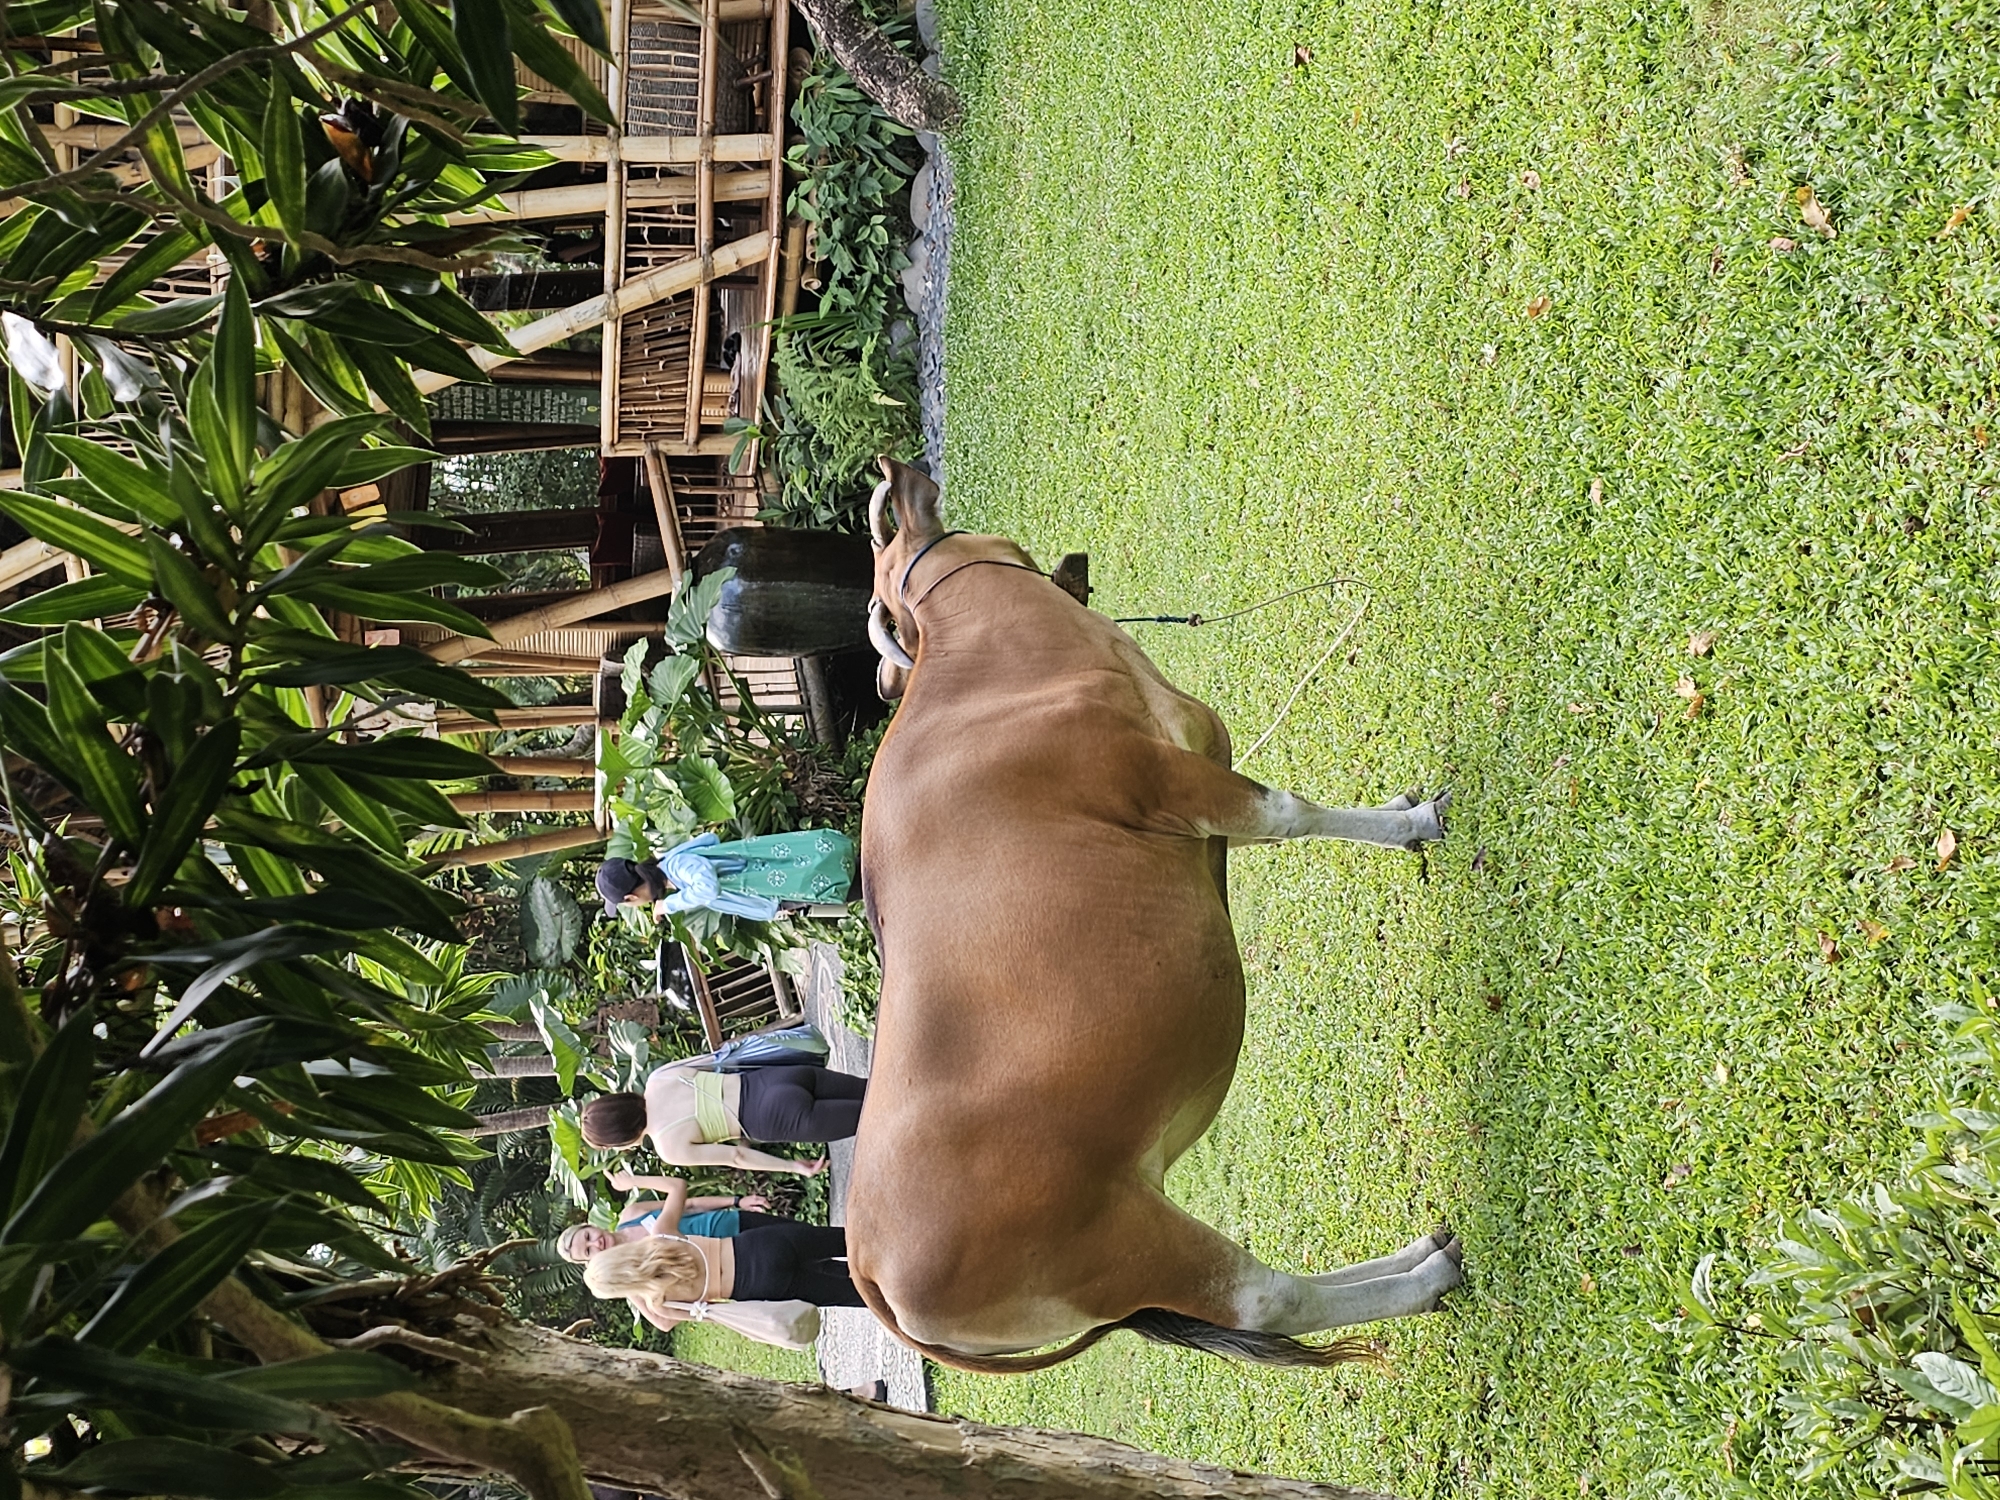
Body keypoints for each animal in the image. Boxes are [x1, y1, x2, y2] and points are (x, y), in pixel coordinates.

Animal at [844, 459, 1465, 1374]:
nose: (911, 470)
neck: (992, 674)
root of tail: (871, 1275)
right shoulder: (1175, 781)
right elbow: (1289, 812)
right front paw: (1412, 824)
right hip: (1133, 1248)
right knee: (1268, 1298)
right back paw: (1422, 1280)